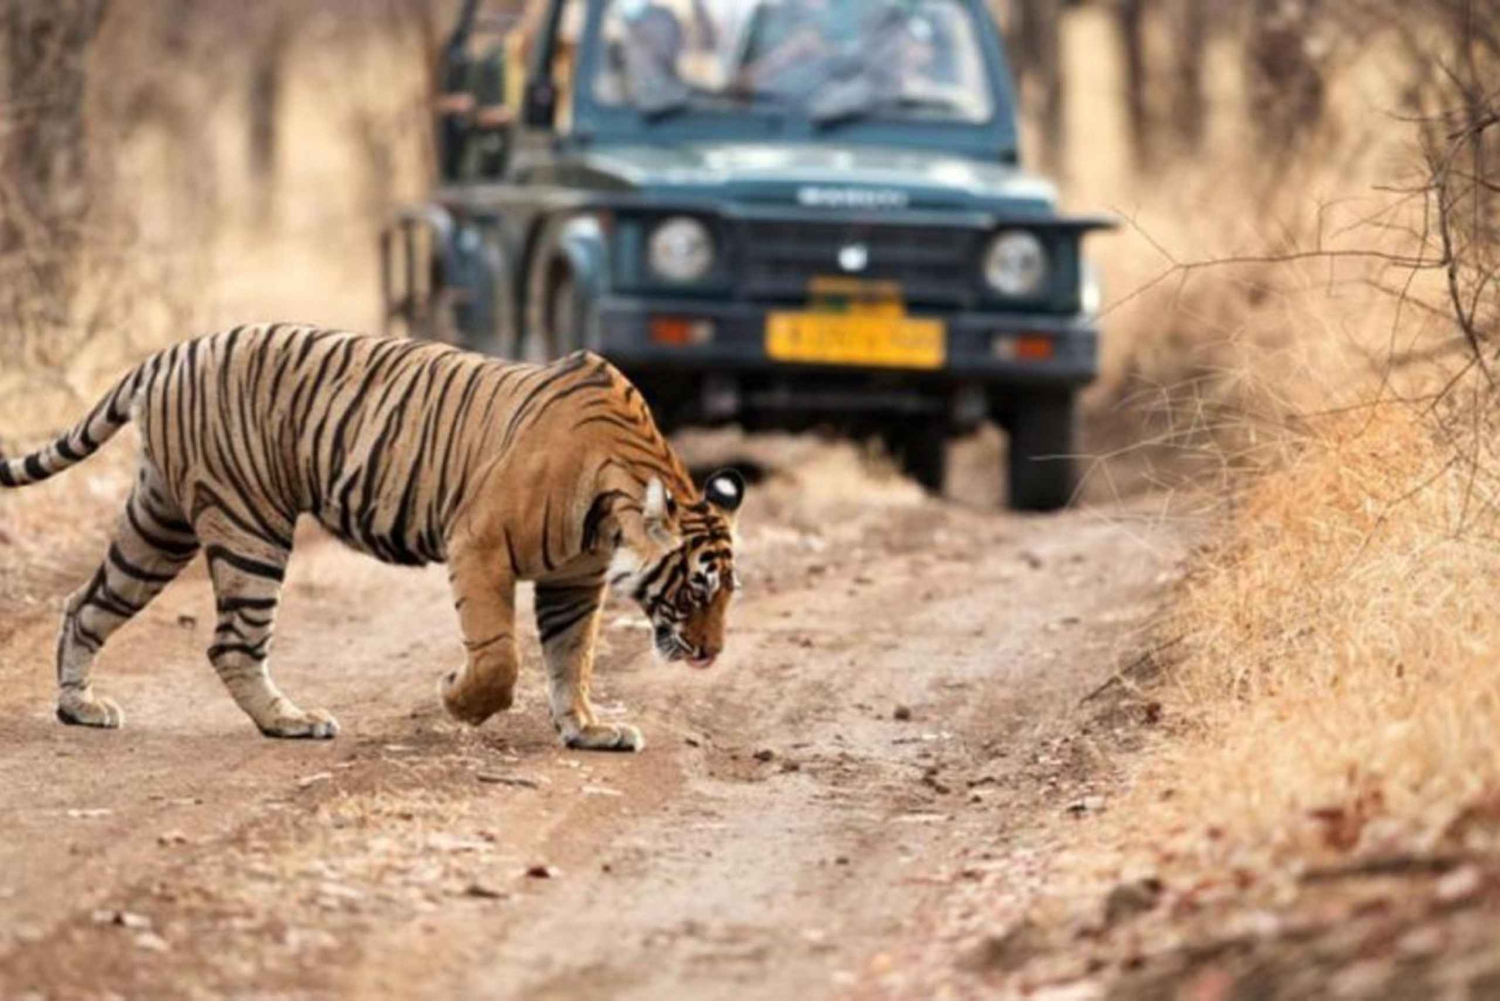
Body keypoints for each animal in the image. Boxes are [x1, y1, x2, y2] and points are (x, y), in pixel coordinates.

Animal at [0, 325, 750, 756]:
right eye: (697, 588)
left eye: (727, 594)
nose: (712, 654)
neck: (612, 507)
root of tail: (170, 353)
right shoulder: (479, 544)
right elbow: (500, 657)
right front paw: (457, 698)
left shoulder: (573, 579)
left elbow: (573, 658)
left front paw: (587, 728)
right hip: (249, 524)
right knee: (231, 642)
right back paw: (291, 721)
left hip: (160, 523)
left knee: (86, 605)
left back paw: (79, 706)